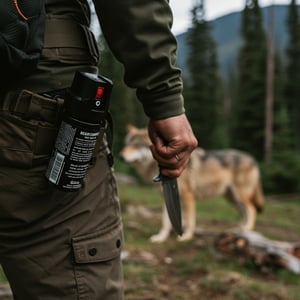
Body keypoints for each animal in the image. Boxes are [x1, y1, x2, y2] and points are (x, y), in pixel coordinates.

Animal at [119, 125, 264, 243]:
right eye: (126, 144)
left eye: (136, 145)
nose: (120, 156)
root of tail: (253, 159)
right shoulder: (166, 198)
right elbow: (165, 221)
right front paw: (161, 237)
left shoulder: (187, 196)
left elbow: (188, 220)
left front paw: (186, 236)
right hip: (231, 197)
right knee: (244, 212)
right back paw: (239, 229)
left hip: (240, 195)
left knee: (252, 209)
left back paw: (247, 228)